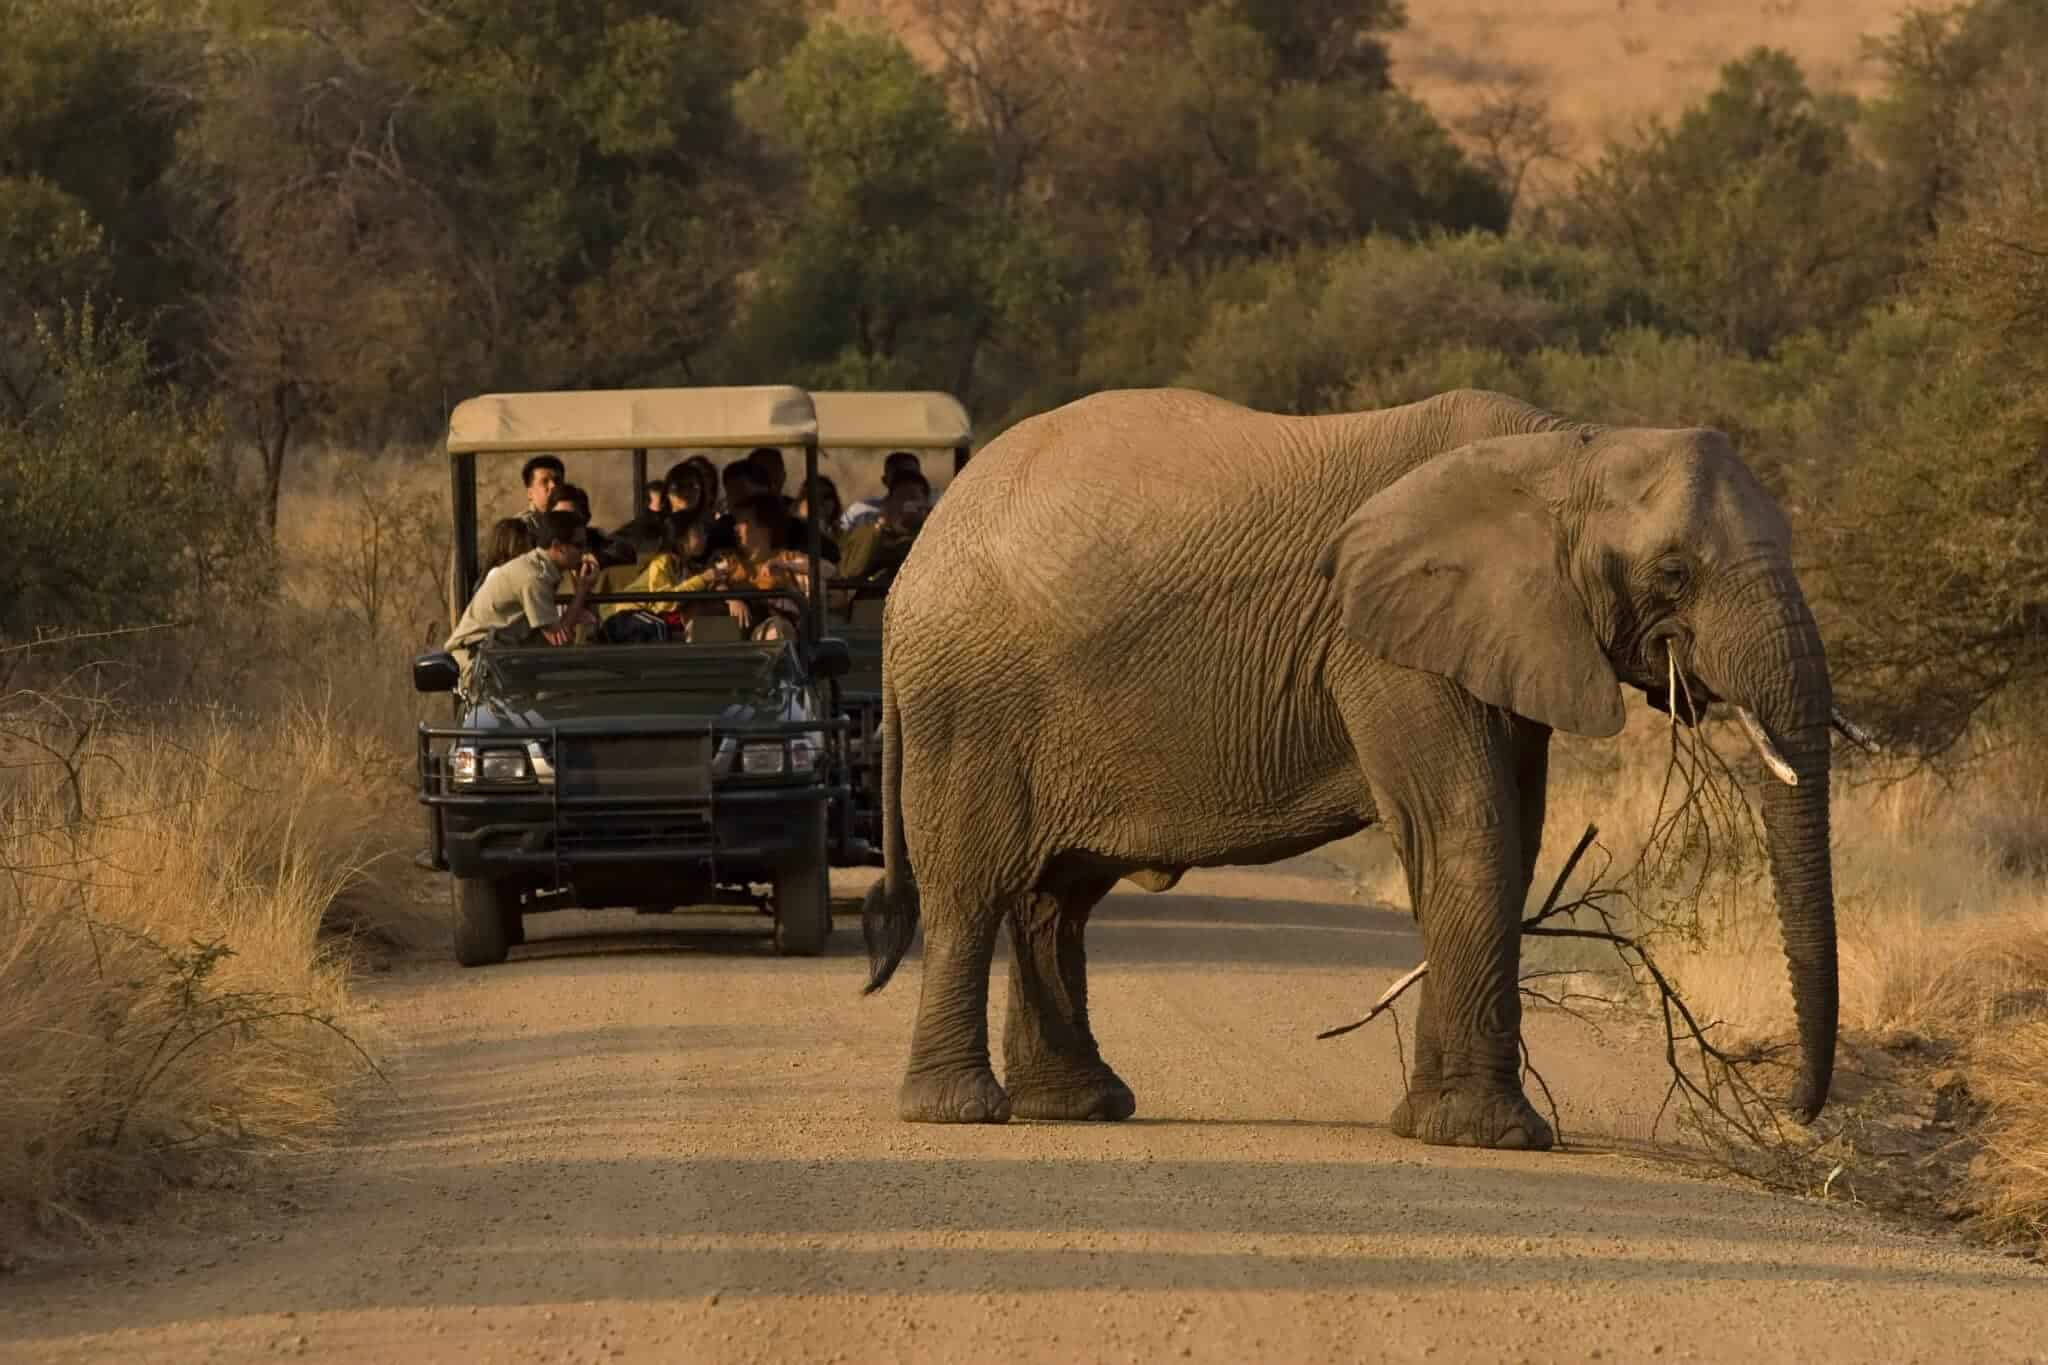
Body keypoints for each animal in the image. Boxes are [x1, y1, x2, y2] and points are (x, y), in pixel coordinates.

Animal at [861, 386, 1844, 1150]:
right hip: (969, 704)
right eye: (1674, 572)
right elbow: (1467, 827)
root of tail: (914, 563)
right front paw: (1488, 1135)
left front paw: (1441, 1124)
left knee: (1054, 899)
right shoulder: (1382, 646)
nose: (1794, 1112)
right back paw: (962, 1111)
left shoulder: (1499, 634)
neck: (1563, 446)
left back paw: (1079, 1105)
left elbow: (1514, 836)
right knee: (971, 888)